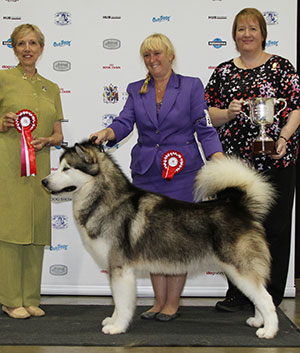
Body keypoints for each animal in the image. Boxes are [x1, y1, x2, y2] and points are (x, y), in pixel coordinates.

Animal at [42, 140, 278, 338]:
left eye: (66, 168)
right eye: (59, 167)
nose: (44, 181)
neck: (105, 199)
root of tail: (240, 208)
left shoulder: (120, 269)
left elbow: (122, 302)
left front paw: (117, 327)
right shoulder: (115, 269)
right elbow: (117, 302)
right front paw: (113, 320)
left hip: (240, 269)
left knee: (266, 299)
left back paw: (269, 331)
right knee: (258, 298)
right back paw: (258, 321)